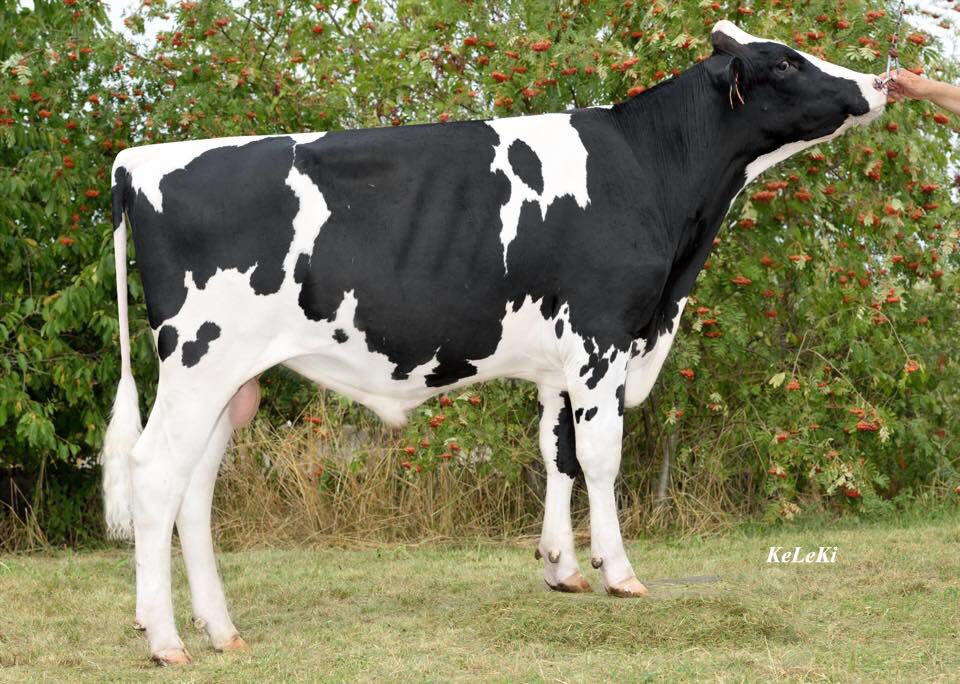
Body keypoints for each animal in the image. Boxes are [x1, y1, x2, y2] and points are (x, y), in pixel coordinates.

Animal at [101, 21, 886, 664]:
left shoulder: (561, 362)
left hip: (229, 381)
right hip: (198, 359)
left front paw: (560, 568)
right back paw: (165, 640)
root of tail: (135, 162)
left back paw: (220, 631)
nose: (879, 82)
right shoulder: (603, 337)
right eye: (785, 63)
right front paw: (618, 573)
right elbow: (601, 457)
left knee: (195, 490)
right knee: (154, 474)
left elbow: (557, 452)